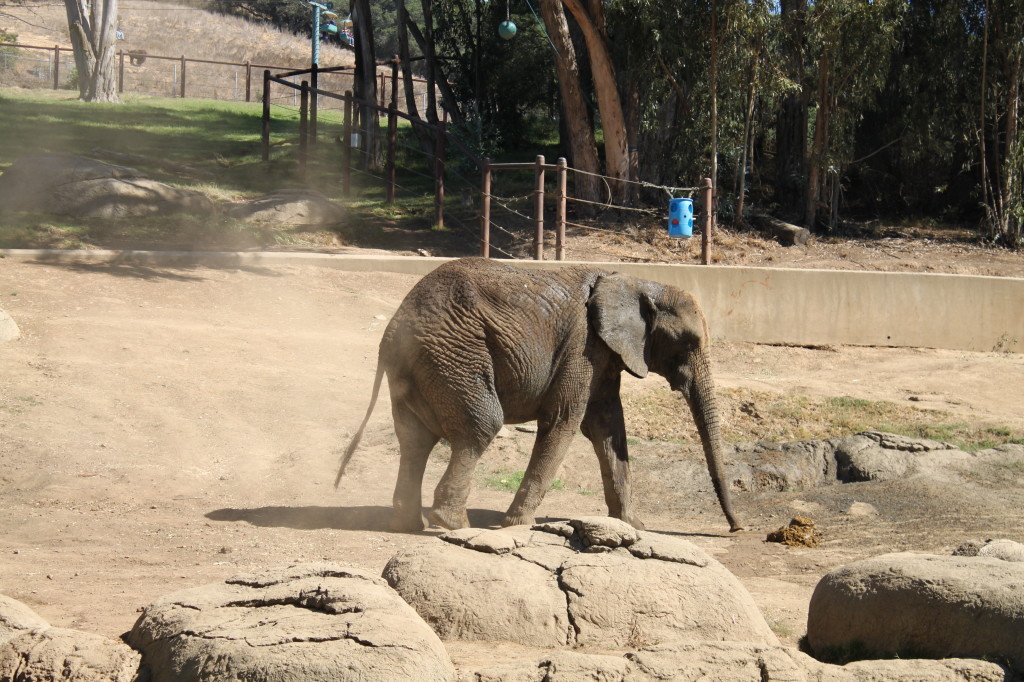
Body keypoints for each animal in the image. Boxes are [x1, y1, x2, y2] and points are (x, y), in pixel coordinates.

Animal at [335, 254, 745, 532]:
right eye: (688, 343)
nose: (736, 527)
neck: (635, 281)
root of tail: (393, 329)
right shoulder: (582, 345)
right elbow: (565, 420)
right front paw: (516, 525)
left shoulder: (603, 354)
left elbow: (608, 427)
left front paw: (633, 526)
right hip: (454, 353)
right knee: (480, 426)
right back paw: (454, 525)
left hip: (420, 365)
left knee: (415, 439)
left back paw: (409, 524)